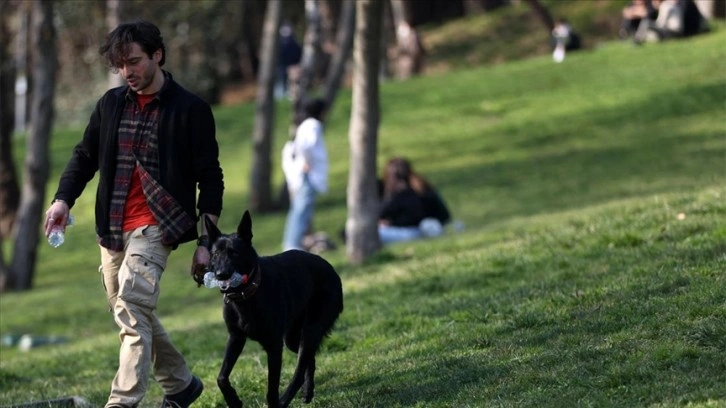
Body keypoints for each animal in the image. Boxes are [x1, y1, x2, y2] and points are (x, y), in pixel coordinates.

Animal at [202, 210, 344, 408]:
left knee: (299, 371)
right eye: (215, 254)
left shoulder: (274, 347)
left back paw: (286, 400)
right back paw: (307, 391)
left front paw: (274, 402)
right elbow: (221, 377)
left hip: (309, 331)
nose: (221, 275)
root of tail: (331, 269)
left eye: (235, 253)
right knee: (310, 359)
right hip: (292, 338)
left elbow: (271, 390)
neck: (247, 294)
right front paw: (234, 401)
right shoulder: (236, 338)